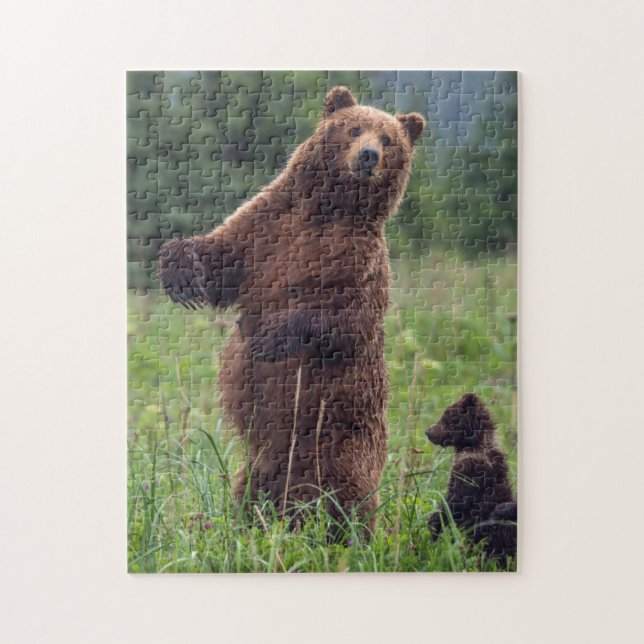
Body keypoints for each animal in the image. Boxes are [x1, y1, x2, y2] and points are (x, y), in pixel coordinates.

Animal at [158, 86, 425, 532]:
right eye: (354, 128)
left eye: (389, 139)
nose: (368, 155)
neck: (331, 209)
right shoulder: (268, 225)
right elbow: (224, 257)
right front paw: (179, 266)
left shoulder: (359, 261)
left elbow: (346, 320)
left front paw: (270, 336)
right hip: (263, 464)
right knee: (250, 490)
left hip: (343, 439)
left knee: (349, 494)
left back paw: (347, 531)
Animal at [425, 393, 517, 563]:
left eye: (447, 418)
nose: (428, 432)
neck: (473, 446)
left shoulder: (470, 472)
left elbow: (453, 502)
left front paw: (434, 524)